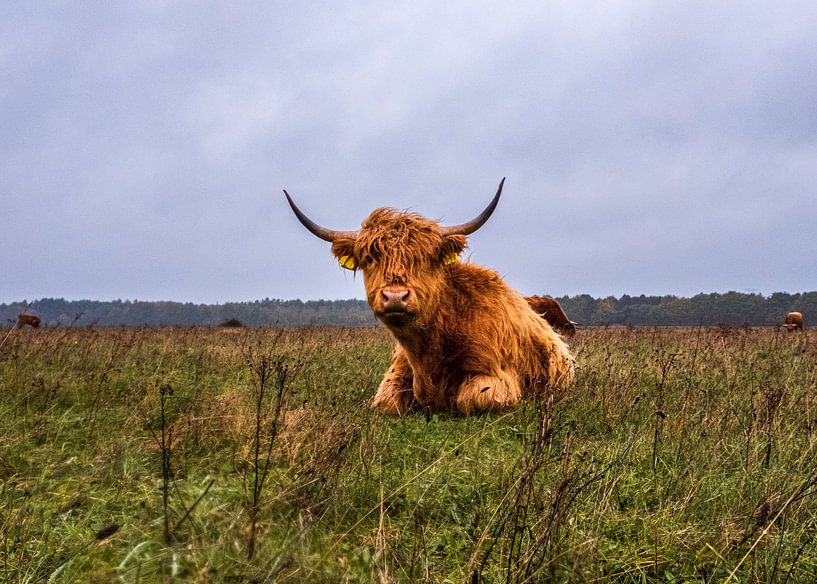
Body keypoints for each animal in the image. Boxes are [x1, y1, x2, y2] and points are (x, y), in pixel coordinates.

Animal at [286, 178, 572, 416]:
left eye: (424, 258)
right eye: (370, 258)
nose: (395, 296)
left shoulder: (498, 377)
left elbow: (472, 399)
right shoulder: (395, 374)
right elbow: (387, 402)